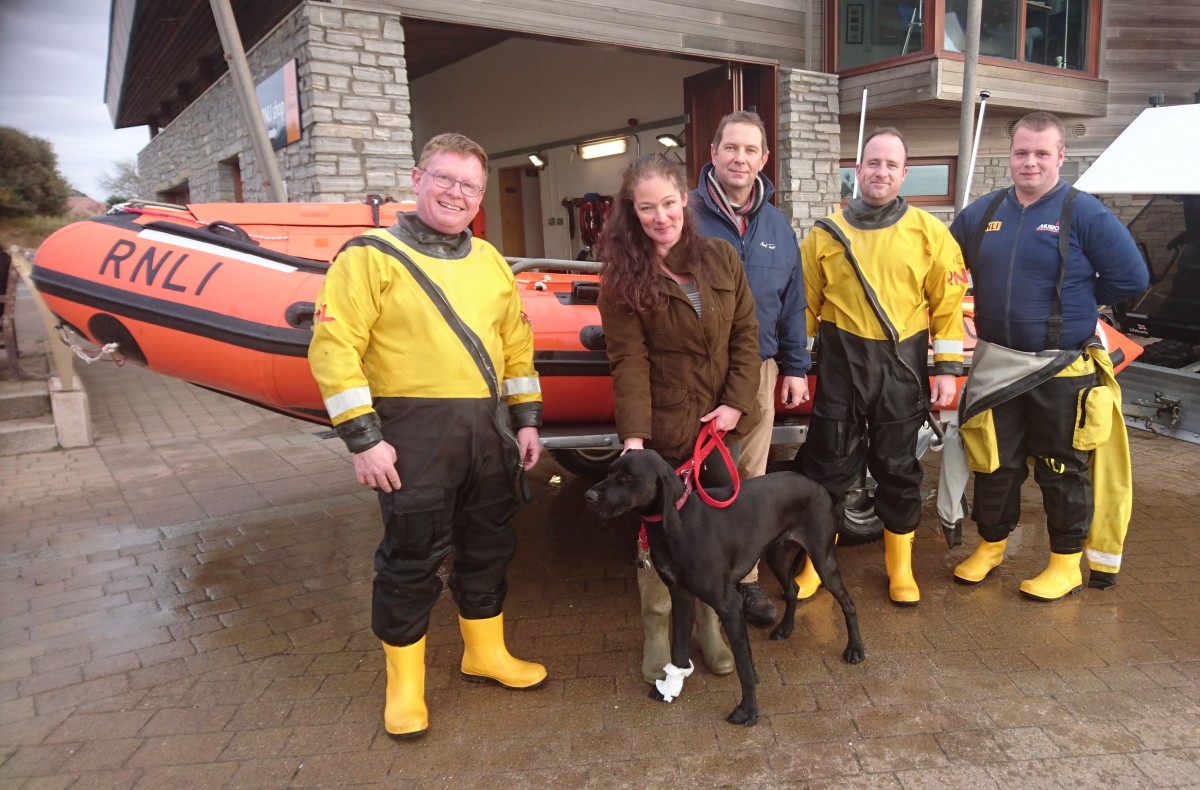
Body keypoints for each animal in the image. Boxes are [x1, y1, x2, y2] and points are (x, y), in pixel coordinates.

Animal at [583, 449, 859, 725]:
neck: (680, 521)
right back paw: (785, 628)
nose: (589, 497)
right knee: (793, 590)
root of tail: (819, 487)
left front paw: (749, 709)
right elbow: (678, 648)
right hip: (778, 557)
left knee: (848, 602)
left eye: (628, 477)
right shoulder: (681, 595)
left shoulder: (729, 604)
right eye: (610, 471)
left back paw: (855, 649)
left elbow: (743, 666)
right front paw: (671, 685)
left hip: (822, 559)